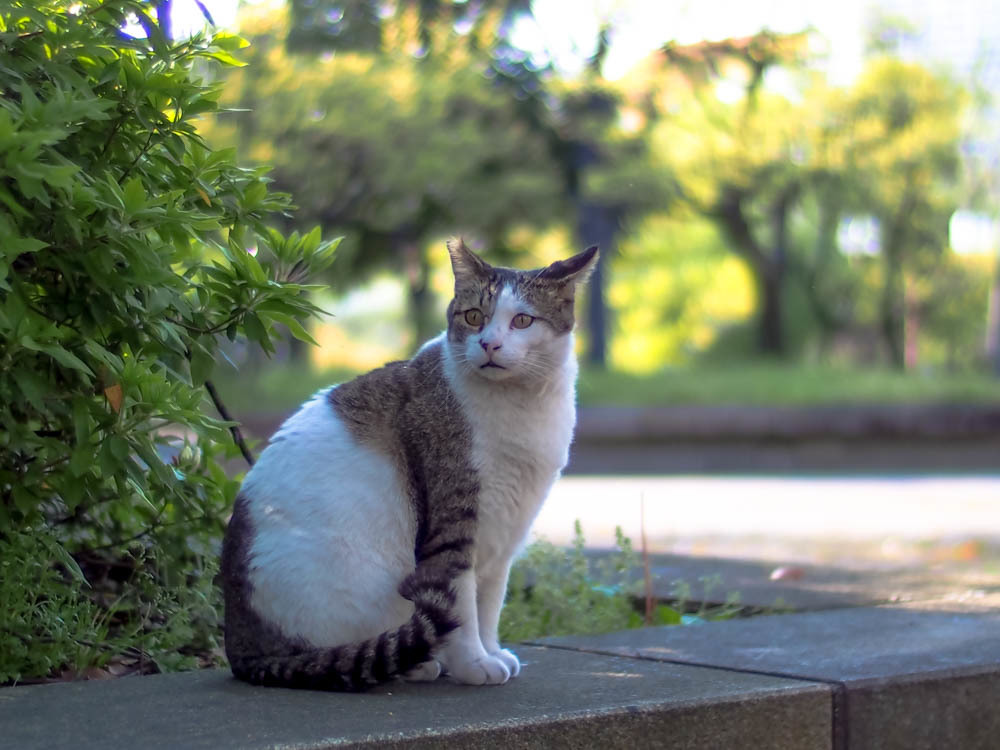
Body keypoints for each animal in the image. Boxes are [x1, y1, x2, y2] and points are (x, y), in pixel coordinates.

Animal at [223, 238, 596, 692]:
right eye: (474, 317)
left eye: (522, 320)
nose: (488, 344)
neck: (521, 404)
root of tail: (241, 648)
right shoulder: (455, 525)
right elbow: (462, 604)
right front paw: (474, 663)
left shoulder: (505, 531)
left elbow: (490, 604)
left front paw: (491, 651)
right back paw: (414, 663)